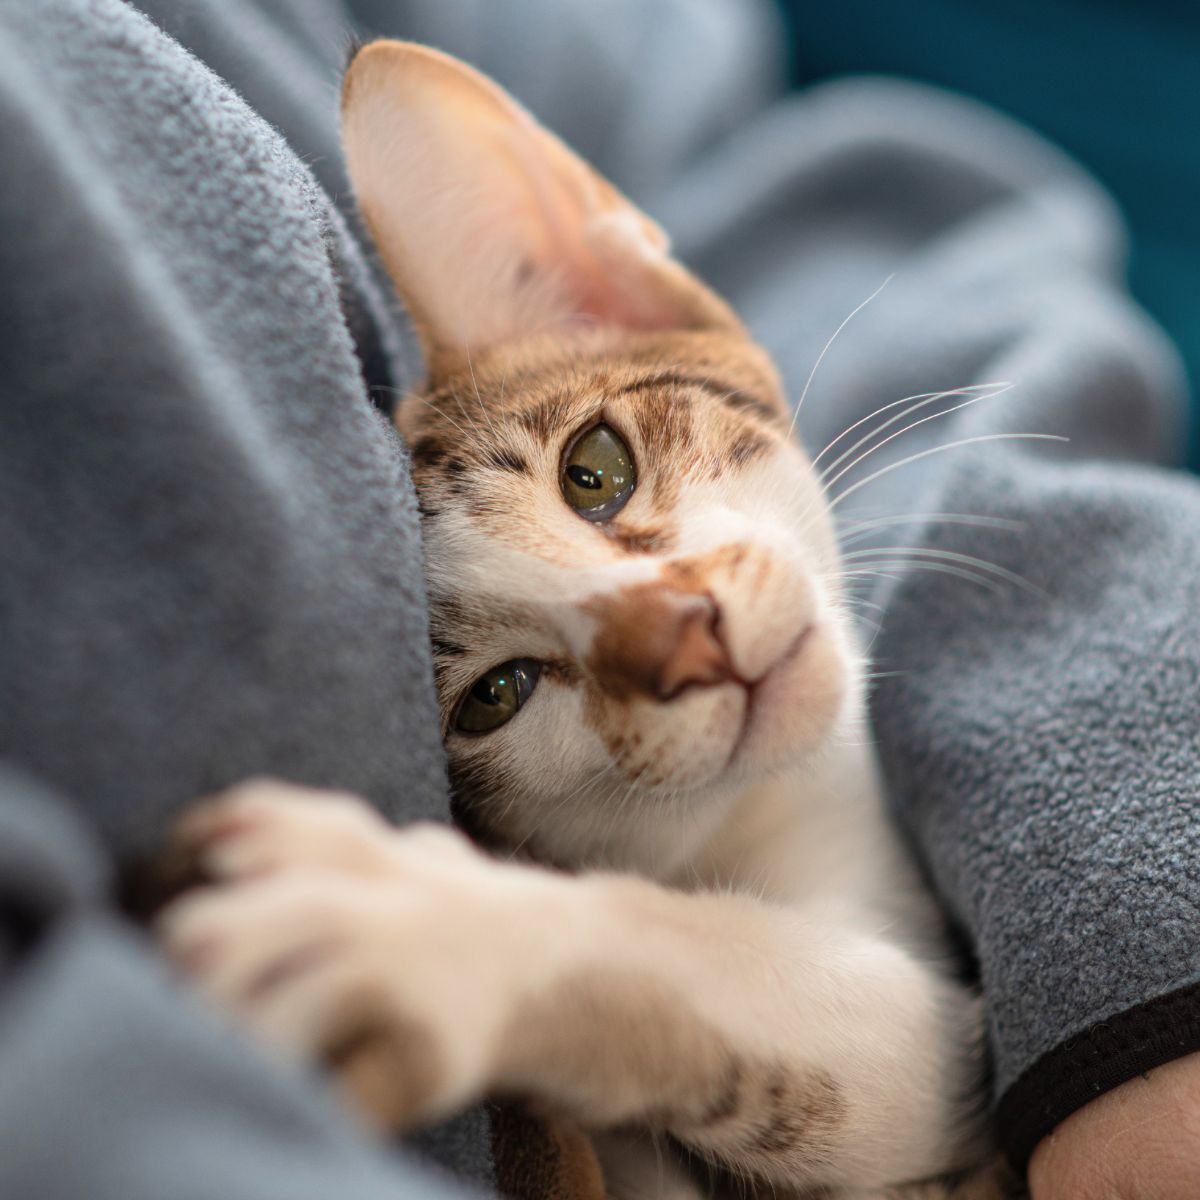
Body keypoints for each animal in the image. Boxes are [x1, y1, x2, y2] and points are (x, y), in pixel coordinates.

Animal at [157, 37, 1003, 1200]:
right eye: (495, 696)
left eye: (593, 471)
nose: (690, 634)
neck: (754, 824)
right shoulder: (940, 1059)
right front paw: (433, 930)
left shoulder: (936, 1029)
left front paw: (429, 927)